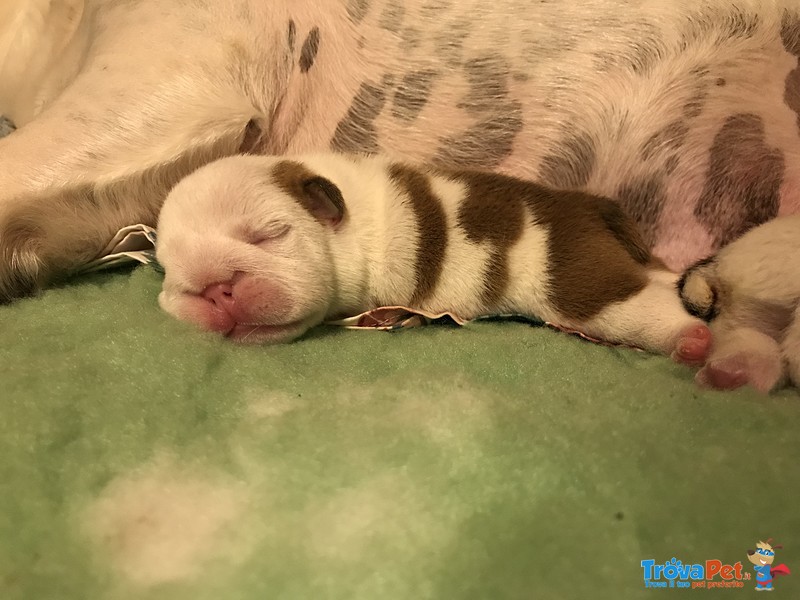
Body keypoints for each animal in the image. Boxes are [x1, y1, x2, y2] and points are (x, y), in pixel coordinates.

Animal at [159, 152, 708, 364]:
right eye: (173, 275)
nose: (215, 290)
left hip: (581, 281)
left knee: (638, 306)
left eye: (267, 235)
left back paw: (695, 340)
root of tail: (593, 205)